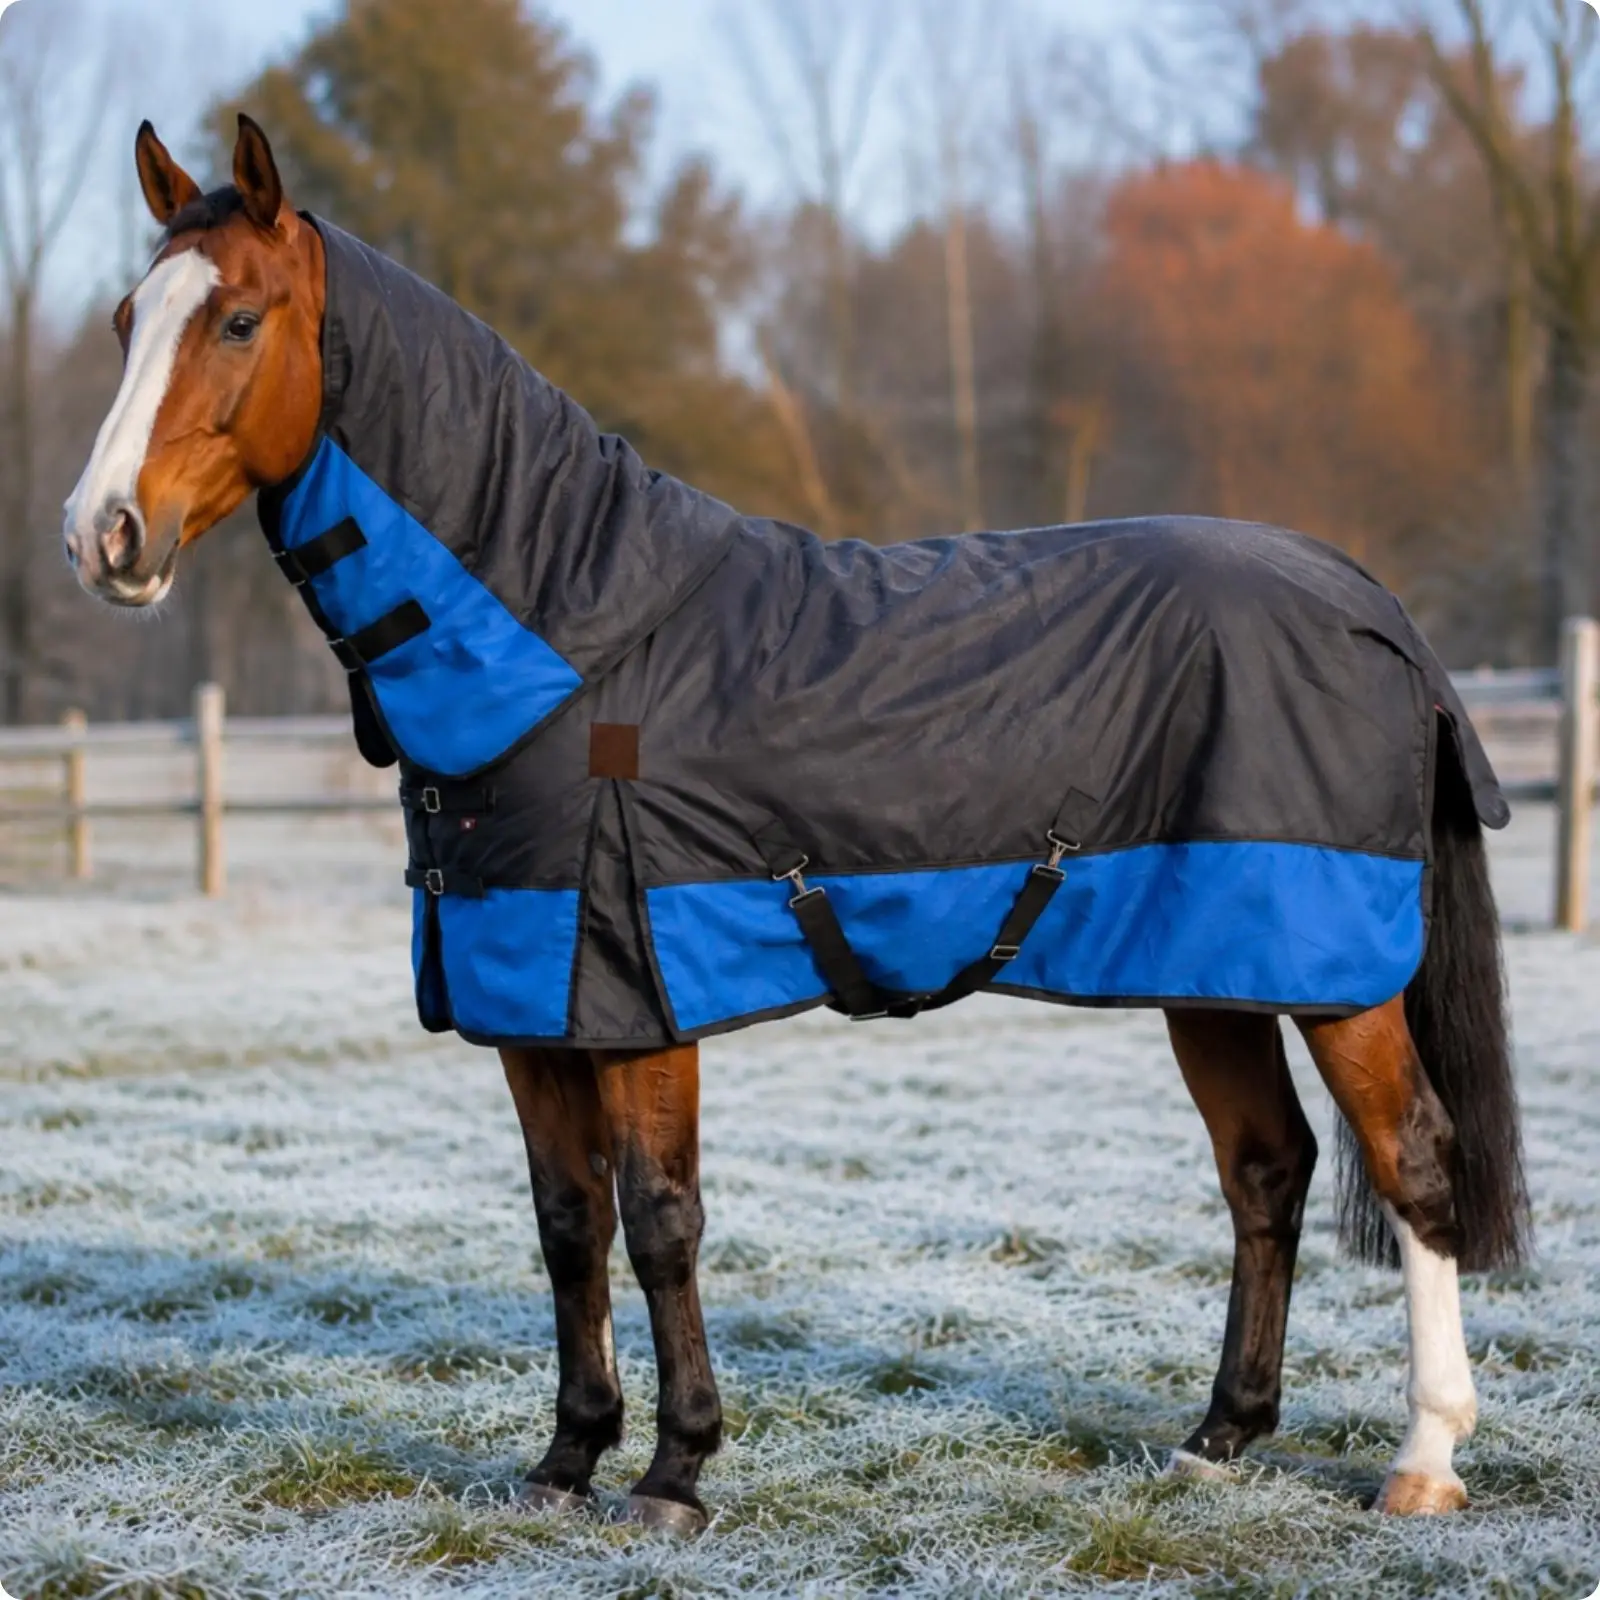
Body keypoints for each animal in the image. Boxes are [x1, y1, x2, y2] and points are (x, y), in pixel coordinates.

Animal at [61, 114, 1530, 1534]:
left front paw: (674, 1473)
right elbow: (565, 1223)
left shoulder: (639, 1000)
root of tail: (1365, 601)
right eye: (127, 319)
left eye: (238, 320)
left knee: (1415, 1164)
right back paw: (1218, 1442)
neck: (574, 649)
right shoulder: (531, 1002)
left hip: (1339, 981)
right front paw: (564, 1461)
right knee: (1268, 1170)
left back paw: (1423, 1460)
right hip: (1212, 970)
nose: (103, 536)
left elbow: (659, 1219)